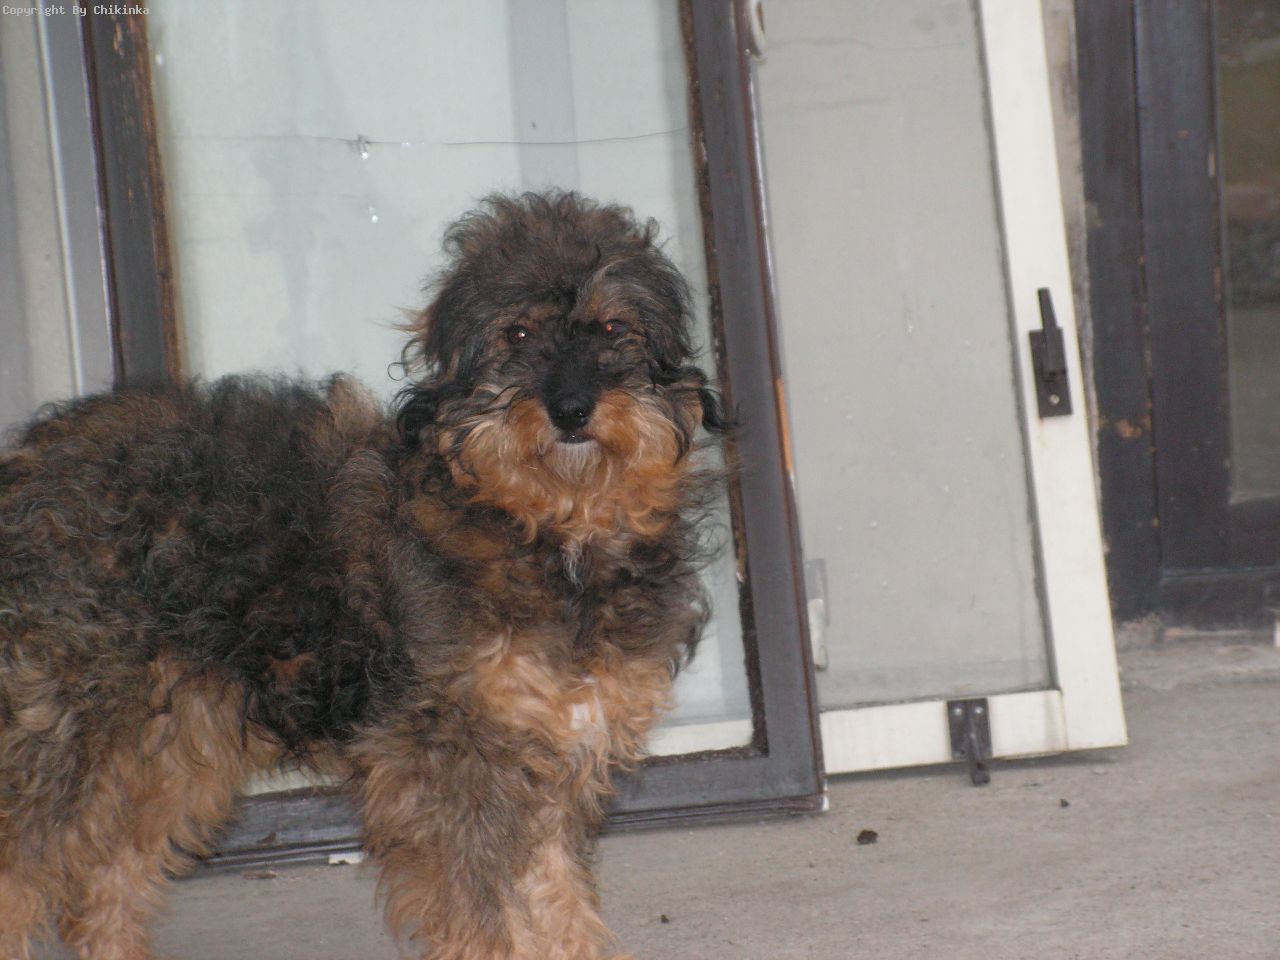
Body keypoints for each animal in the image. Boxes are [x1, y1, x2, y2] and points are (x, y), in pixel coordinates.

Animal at [0, 191, 727, 960]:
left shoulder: (549, 754)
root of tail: (28, 468)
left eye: (614, 326)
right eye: (519, 332)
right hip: (69, 736)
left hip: (171, 742)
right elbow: (488, 916)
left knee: (105, 881)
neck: (552, 538)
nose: (570, 409)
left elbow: (555, 896)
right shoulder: (452, 764)